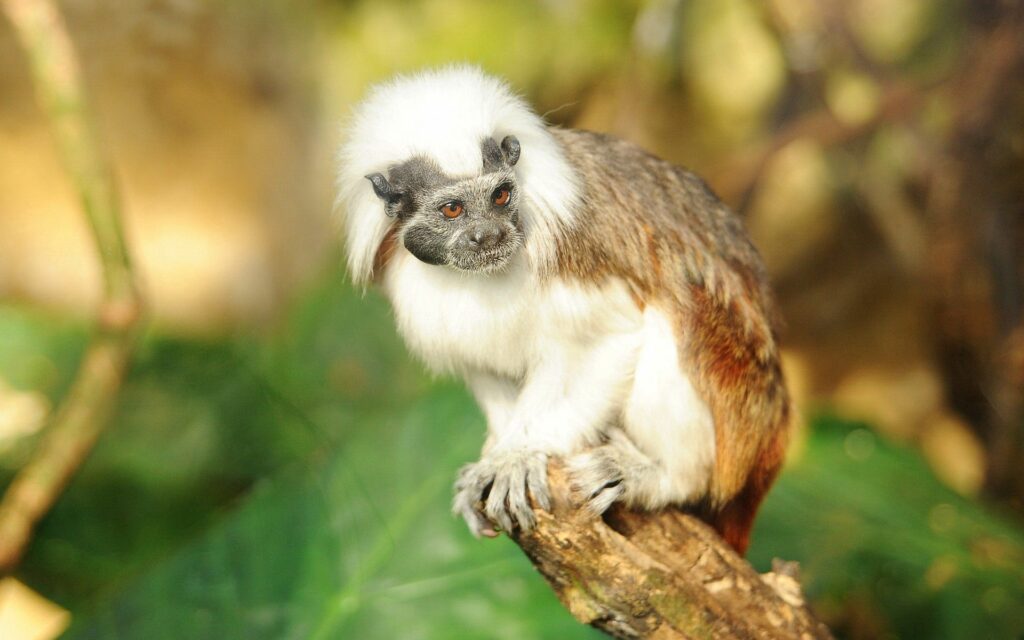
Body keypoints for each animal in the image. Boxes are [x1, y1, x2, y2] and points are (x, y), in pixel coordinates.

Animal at [336, 66, 790, 555]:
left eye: (501, 197)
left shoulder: (575, 247)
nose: (489, 235)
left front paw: (517, 455)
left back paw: (660, 475)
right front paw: (494, 454)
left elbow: (603, 337)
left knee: (677, 315)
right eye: (453, 209)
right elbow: (483, 363)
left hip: (738, 415)